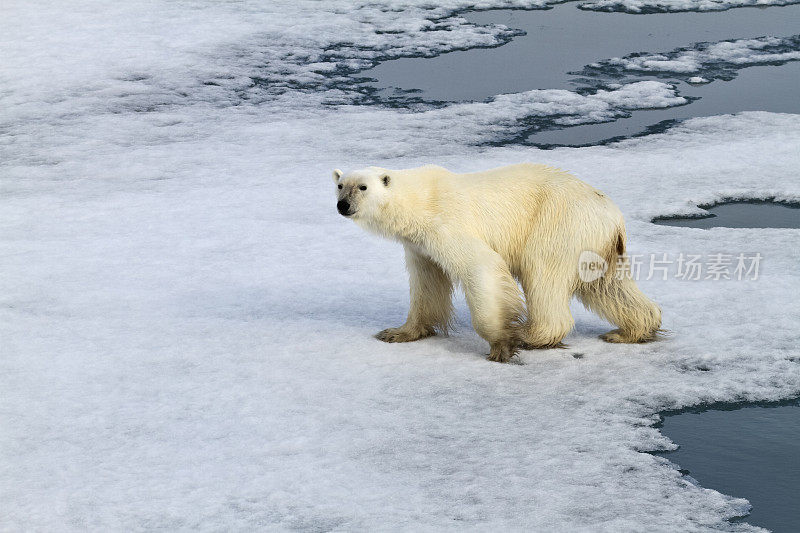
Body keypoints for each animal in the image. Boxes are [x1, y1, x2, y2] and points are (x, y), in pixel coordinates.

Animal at [332, 163, 664, 362]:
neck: (420, 201)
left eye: (362, 187)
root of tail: (612, 214)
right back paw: (629, 331)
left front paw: (502, 342)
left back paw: (529, 334)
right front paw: (397, 332)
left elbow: (481, 266)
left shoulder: (447, 224)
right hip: (596, 245)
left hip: (559, 223)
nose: (343, 205)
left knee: (542, 272)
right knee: (607, 286)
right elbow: (427, 284)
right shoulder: (419, 246)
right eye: (340, 185)